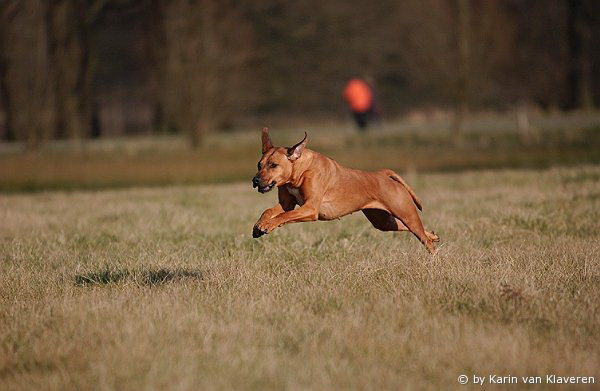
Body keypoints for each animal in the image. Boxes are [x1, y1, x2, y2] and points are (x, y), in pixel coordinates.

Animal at [251, 127, 438, 253]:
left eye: (273, 165)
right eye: (259, 165)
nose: (255, 180)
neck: (300, 170)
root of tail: (383, 174)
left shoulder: (310, 209)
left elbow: (284, 216)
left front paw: (268, 225)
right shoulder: (287, 203)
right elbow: (270, 211)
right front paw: (259, 225)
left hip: (407, 214)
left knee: (423, 239)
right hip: (382, 222)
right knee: (409, 228)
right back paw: (432, 235)